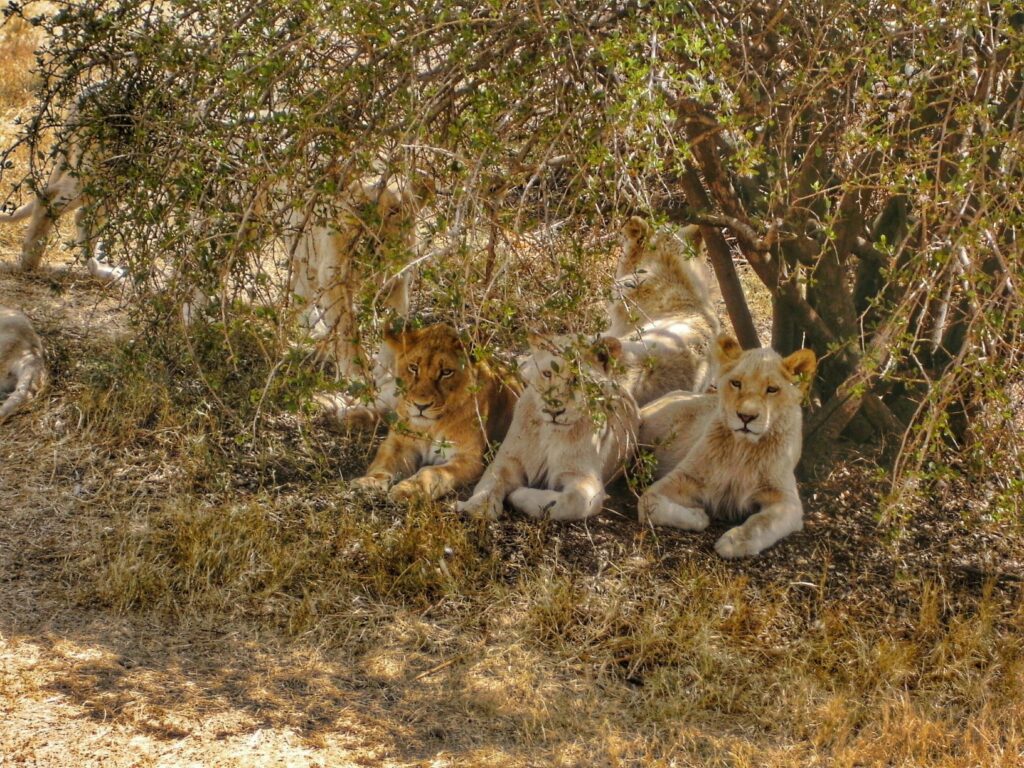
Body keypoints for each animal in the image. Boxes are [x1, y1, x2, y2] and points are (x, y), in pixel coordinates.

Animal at [350, 325, 520, 505]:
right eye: (413, 367)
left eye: (446, 372)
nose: (421, 406)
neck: (429, 428)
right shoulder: (397, 443)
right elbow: (383, 464)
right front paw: (368, 482)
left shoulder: (469, 458)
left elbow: (431, 472)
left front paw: (409, 490)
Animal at [458, 335, 638, 524]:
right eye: (547, 374)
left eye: (577, 380)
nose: (553, 411)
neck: (549, 433)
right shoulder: (509, 459)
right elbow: (491, 481)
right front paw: (476, 506)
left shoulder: (585, 476)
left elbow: (575, 500)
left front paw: (518, 495)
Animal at [634, 335, 819, 561]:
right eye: (736, 383)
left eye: (772, 389)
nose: (746, 417)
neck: (743, 448)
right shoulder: (684, 476)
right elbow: (647, 502)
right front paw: (698, 516)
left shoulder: (787, 500)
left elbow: (762, 523)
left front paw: (734, 542)